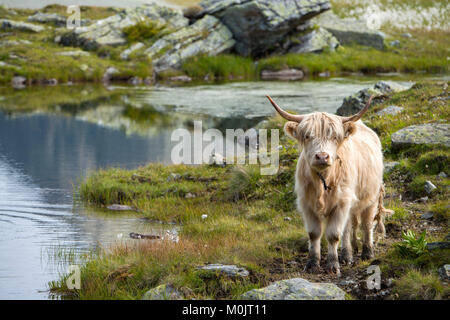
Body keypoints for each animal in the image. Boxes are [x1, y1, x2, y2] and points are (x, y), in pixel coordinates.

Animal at [268, 95, 390, 276]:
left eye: (334, 137)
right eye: (307, 136)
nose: (322, 157)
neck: (322, 182)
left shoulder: (341, 204)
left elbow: (333, 235)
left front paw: (333, 265)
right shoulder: (307, 204)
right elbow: (314, 234)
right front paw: (313, 263)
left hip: (371, 197)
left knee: (366, 224)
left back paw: (367, 252)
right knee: (349, 227)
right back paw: (348, 254)